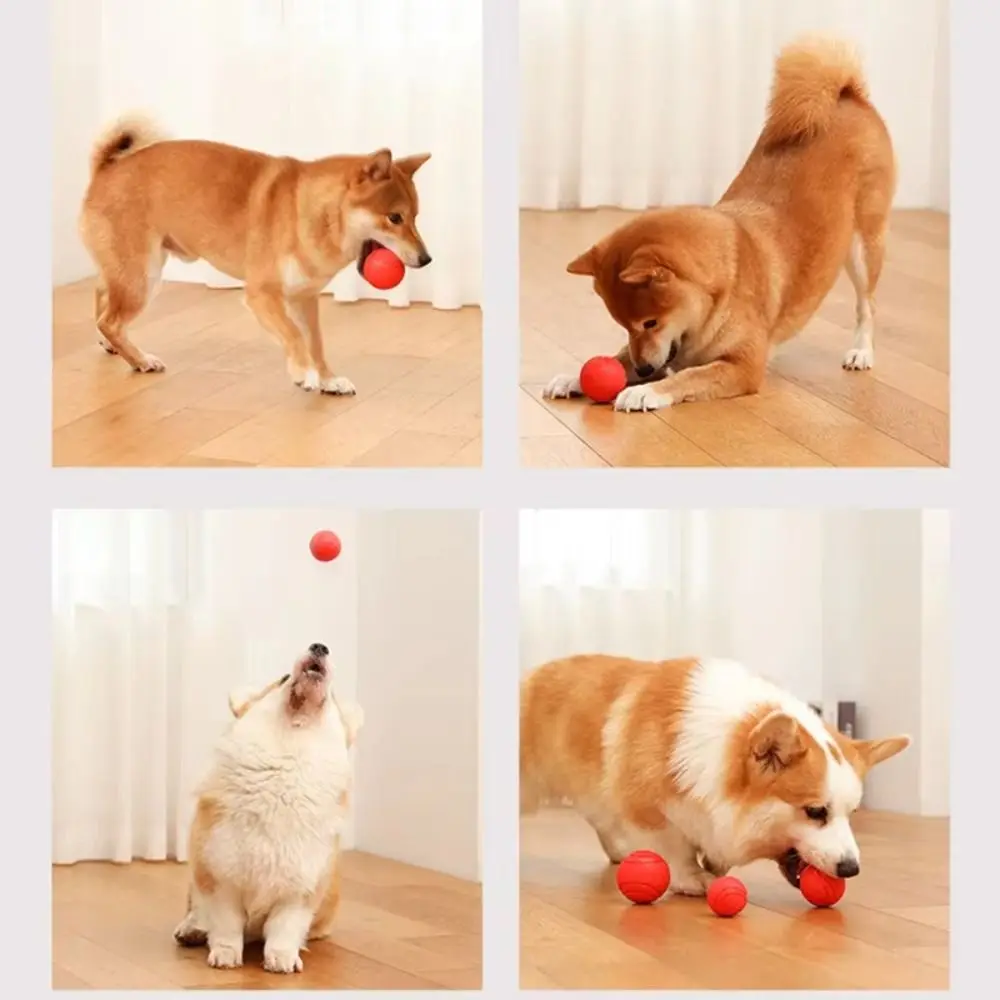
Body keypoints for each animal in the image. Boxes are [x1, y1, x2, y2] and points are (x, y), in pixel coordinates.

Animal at [80, 117, 432, 394]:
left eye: (415, 217)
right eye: (394, 218)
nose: (426, 259)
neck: (310, 212)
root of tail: (106, 170)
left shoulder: (304, 298)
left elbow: (315, 342)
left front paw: (328, 379)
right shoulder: (262, 295)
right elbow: (293, 335)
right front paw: (303, 373)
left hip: (130, 272)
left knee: (101, 297)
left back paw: (111, 345)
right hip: (143, 277)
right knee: (110, 319)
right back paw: (139, 359)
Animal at [175, 640, 364, 976]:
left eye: (332, 695)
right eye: (284, 678)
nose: (320, 646)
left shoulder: (300, 892)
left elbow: (284, 928)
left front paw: (281, 959)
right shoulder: (219, 878)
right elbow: (225, 924)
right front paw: (225, 955)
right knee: (196, 909)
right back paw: (192, 929)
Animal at [520, 656, 912, 900]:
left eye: (853, 814)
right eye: (815, 811)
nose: (851, 869)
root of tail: (531, 674)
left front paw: (713, 865)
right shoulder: (645, 806)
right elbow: (672, 844)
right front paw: (691, 878)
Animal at [548, 35, 900, 410]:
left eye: (651, 322)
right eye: (624, 325)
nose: (643, 370)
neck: (723, 286)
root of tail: (848, 94)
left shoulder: (743, 366)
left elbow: (688, 377)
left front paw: (645, 391)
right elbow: (618, 359)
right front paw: (575, 377)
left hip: (864, 247)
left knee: (867, 305)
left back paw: (861, 352)